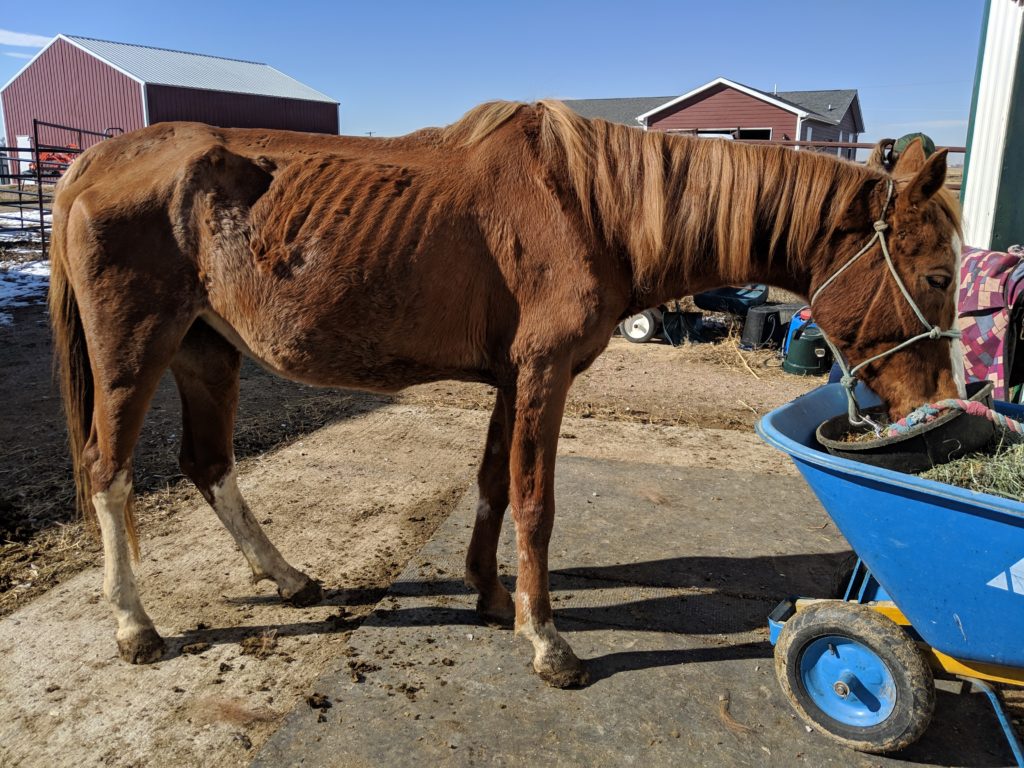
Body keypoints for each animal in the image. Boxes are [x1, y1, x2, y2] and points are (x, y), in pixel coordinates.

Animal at [48, 99, 958, 688]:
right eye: (941, 275)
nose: (945, 407)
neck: (589, 205)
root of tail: (96, 161)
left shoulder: (511, 379)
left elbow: (492, 485)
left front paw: (490, 596)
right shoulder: (544, 375)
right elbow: (535, 502)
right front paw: (546, 639)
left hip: (207, 352)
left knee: (207, 466)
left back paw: (289, 579)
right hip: (136, 353)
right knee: (107, 472)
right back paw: (135, 626)